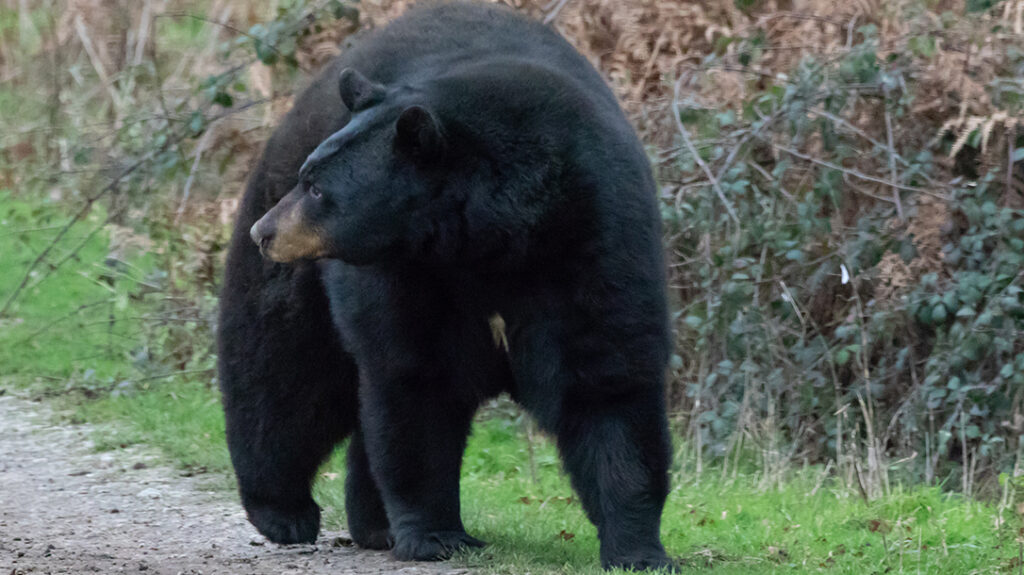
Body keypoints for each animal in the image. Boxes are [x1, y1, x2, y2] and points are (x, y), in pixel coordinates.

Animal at [218, 1, 674, 570]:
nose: (264, 231)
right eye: (308, 176)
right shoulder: (408, 272)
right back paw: (284, 510)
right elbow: (417, 379)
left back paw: (373, 523)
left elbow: (607, 380)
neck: (494, 240)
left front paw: (640, 549)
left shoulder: (595, 240)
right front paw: (435, 536)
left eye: (319, 188)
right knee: (281, 363)